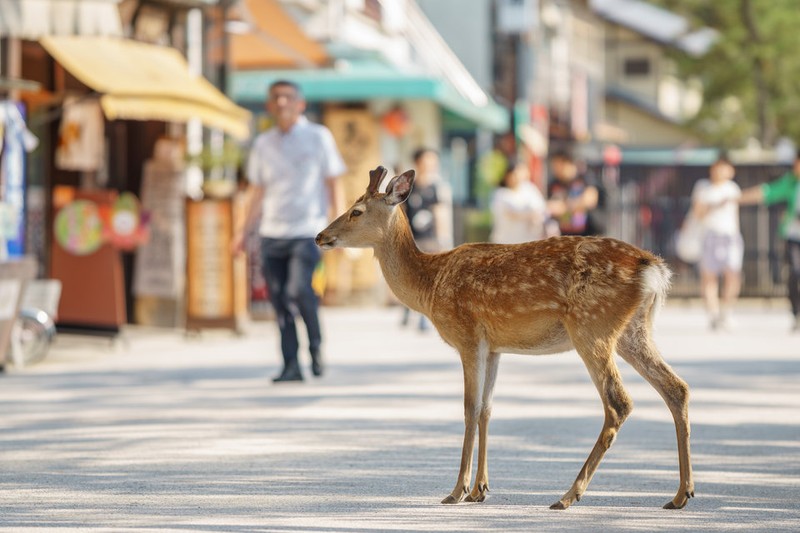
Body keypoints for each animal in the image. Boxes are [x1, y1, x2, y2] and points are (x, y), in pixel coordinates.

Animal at [314, 165, 692, 508]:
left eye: (356, 211)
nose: (320, 236)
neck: (430, 284)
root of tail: (653, 268)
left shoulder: (467, 335)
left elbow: (469, 408)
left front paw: (457, 491)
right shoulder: (494, 346)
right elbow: (486, 408)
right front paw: (480, 490)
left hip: (591, 327)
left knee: (619, 402)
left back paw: (569, 495)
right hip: (633, 330)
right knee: (676, 388)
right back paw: (680, 494)